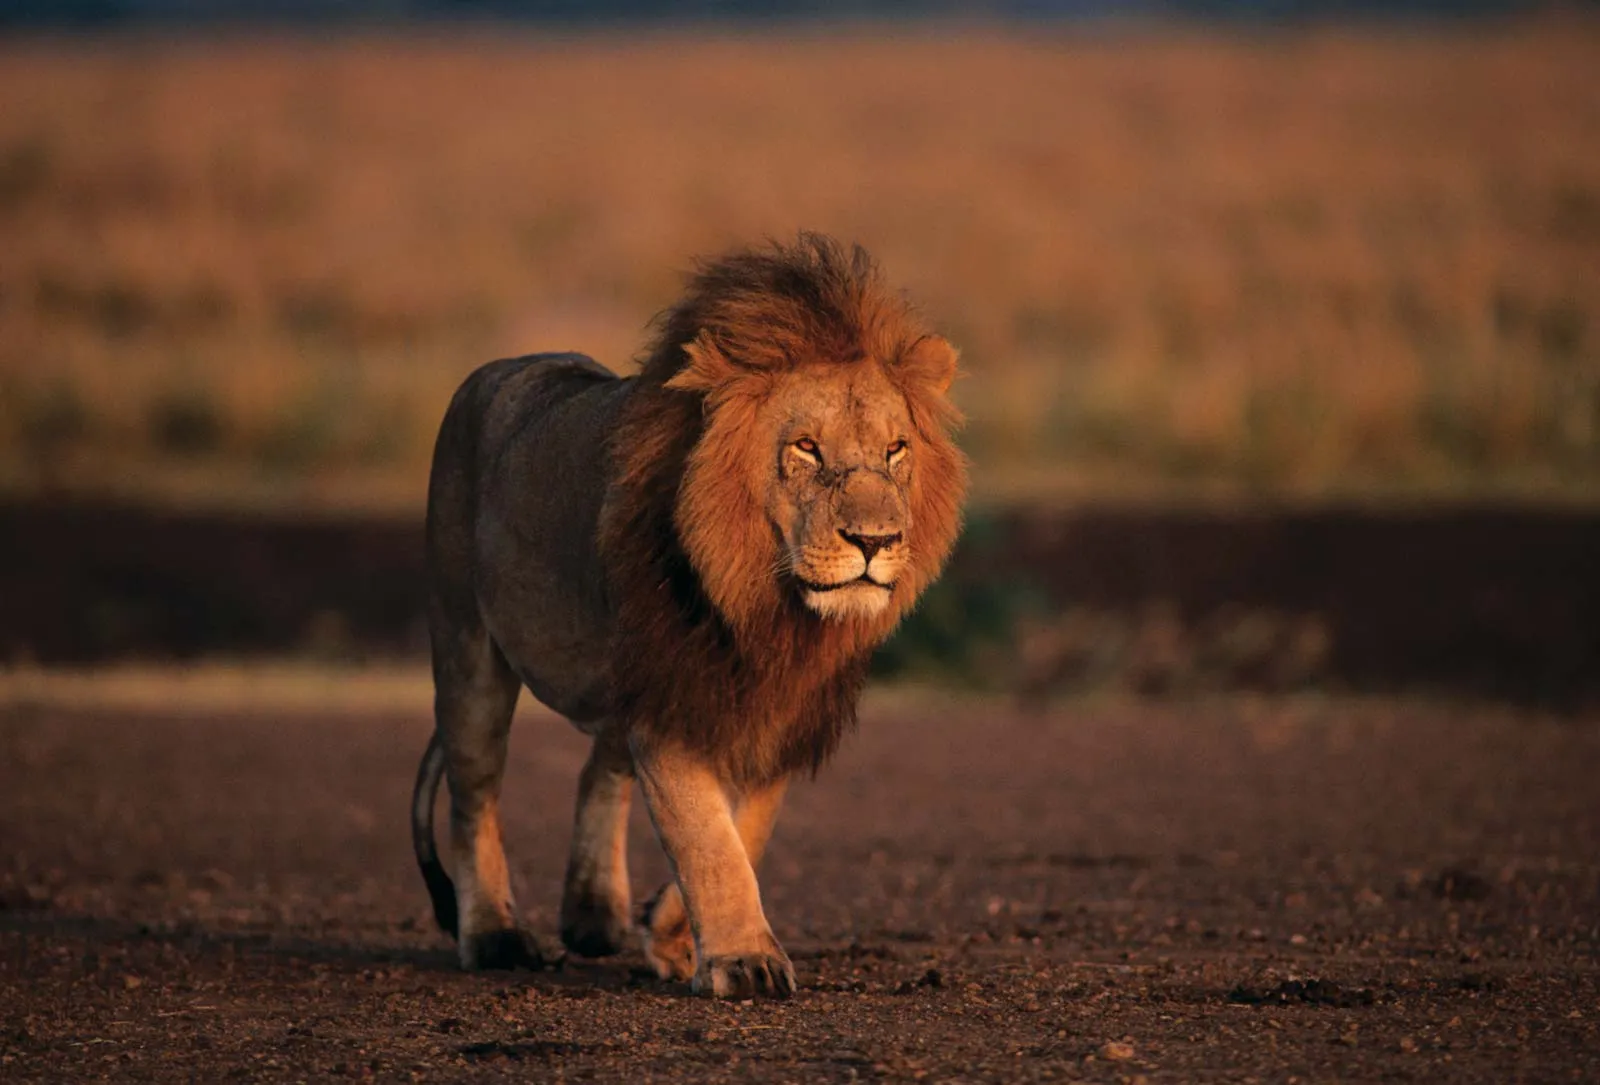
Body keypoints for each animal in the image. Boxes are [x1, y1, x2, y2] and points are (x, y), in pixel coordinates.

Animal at [406, 233, 966, 998]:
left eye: (896, 450)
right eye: (806, 448)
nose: (875, 541)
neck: (767, 607)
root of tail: (498, 369)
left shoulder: (775, 707)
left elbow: (744, 829)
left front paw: (671, 934)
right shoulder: (671, 692)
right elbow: (706, 835)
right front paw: (745, 960)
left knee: (598, 768)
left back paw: (594, 916)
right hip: (467, 646)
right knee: (475, 793)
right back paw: (494, 935)